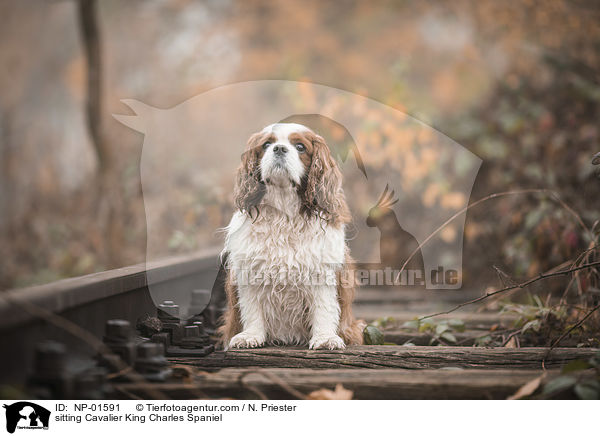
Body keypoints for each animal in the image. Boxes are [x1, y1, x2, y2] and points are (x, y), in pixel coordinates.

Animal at [218, 122, 364, 350]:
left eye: (300, 147)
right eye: (266, 144)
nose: (279, 149)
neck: (284, 210)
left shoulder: (321, 272)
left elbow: (323, 308)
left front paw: (324, 338)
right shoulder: (249, 271)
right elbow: (252, 308)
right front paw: (251, 335)